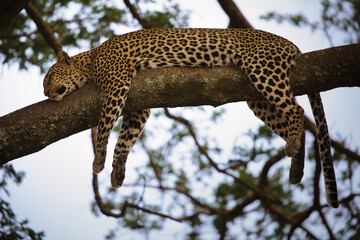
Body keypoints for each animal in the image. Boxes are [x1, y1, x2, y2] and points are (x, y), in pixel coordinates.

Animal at [43, 28, 338, 208]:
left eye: (49, 78)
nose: (45, 93)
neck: (90, 60)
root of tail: (292, 44)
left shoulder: (117, 84)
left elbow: (105, 126)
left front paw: (98, 160)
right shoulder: (139, 106)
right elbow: (126, 139)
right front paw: (117, 171)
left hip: (262, 70)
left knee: (297, 110)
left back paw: (293, 147)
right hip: (257, 100)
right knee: (293, 122)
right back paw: (296, 166)